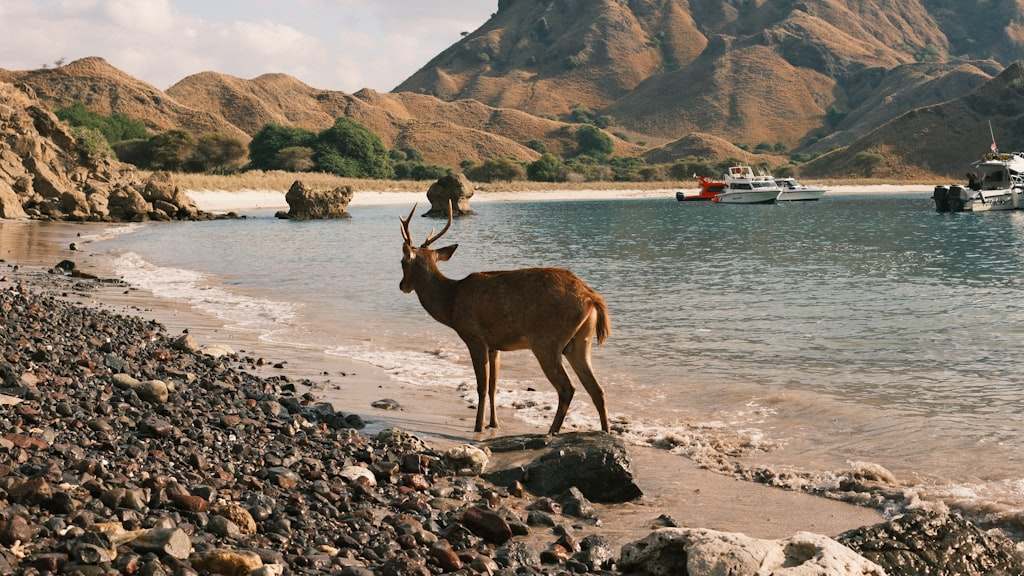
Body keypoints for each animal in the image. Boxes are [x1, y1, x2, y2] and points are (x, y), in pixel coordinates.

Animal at [399, 202, 612, 435]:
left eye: (402, 262)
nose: (402, 285)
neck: (451, 304)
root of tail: (592, 298)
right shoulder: (495, 345)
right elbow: (494, 386)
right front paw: (494, 423)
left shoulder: (474, 336)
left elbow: (482, 385)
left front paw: (478, 427)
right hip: (580, 342)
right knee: (597, 389)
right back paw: (605, 431)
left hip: (547, 341)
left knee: (567, 388)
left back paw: (551, 431)